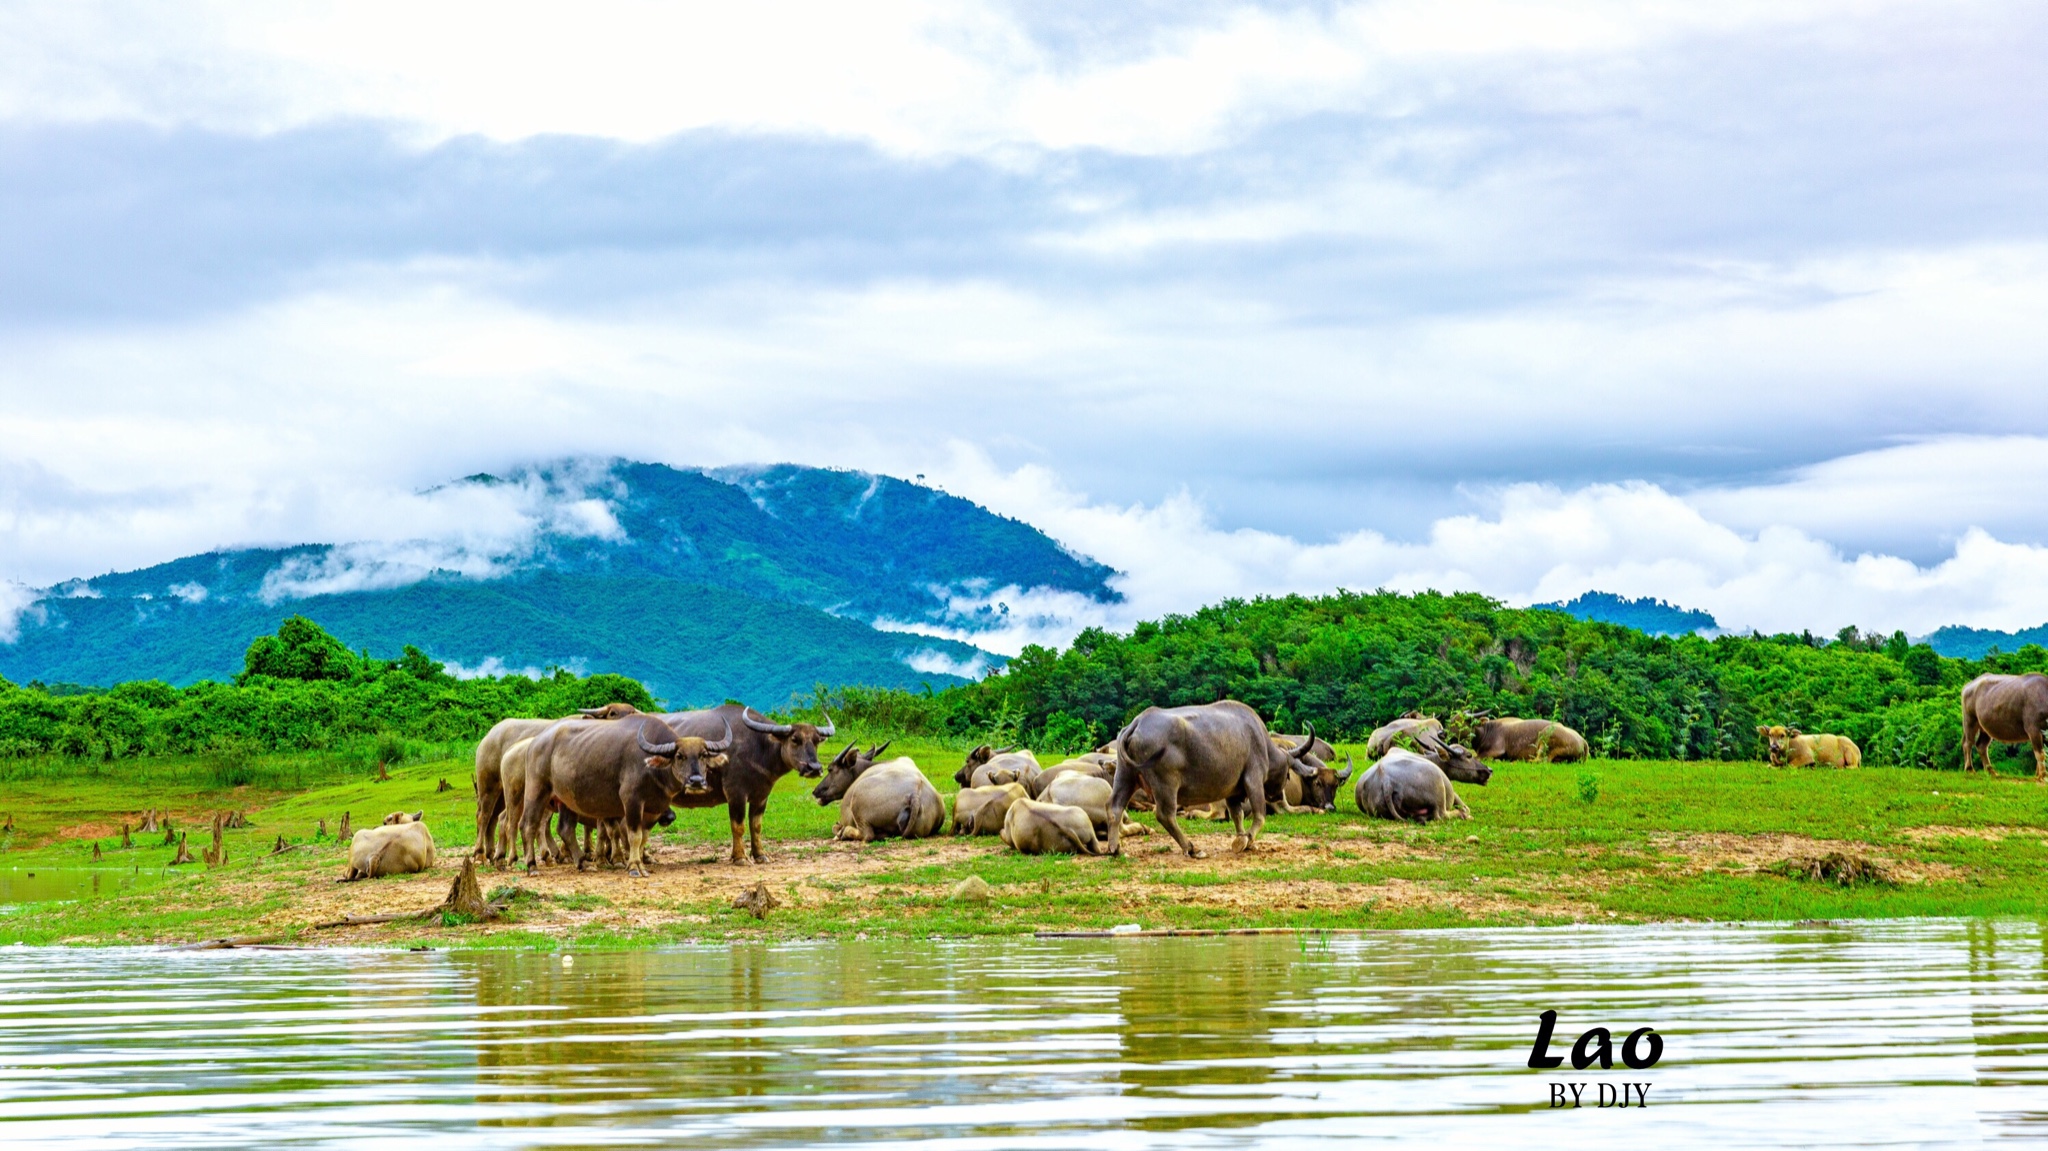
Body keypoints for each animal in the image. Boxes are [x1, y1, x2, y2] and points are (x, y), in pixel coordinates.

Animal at [520, 712, 737, 872]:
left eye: (704, 755)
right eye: (679, 756)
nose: (696, 781)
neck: (652, 769)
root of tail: (536, 742)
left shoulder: (653, 809)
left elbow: (643, 838)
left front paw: (640, 861)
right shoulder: (631, 801)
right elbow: (633, 835)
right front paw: (633, 867)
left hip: (566, 800)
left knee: (565, 829)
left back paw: (583, 863)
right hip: (537, 790)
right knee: (529, 824)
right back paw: (532, 865)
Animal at [655, 700, 831, 860]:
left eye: (816, 741)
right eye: (795, 739)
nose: (814, 768)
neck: (759, 748)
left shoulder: (761, 797)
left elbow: (756, 826)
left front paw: (760, 855)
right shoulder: (736, 794)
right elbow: (738, 826)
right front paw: (740, 857)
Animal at [1114, 696, 1318, 856]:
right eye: (1288, 775)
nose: (1276, 796)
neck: (1262, 742)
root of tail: (1138, 722)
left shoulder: (1233, 792)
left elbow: (1237, 815)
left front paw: (1241, 839)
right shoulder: (1253, 780)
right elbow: (1260, 815)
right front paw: (1247, 839)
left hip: (1125, 776)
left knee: (1115, 807)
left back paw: (1115, 849)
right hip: (1166, 785)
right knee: (1165, 815)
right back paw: (1191, 848)